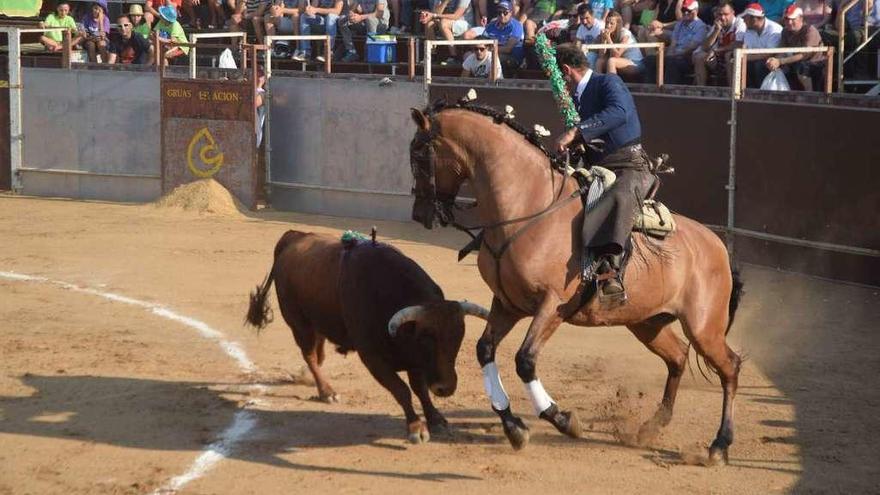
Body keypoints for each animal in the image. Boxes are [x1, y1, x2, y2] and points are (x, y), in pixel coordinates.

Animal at [246, 231, 488, 444]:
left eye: (458, 337)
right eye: (425, 339)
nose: (446, 388)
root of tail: (292, 236)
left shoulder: (415, 361)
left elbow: (419, 389)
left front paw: (436, 420)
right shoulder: (373, 358)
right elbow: (402, 390)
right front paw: (416, 428)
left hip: (319, 323)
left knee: (318, 352)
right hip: (299, 324)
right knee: (310, 356)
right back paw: (326, 392)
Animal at [408, 101, 744, 464]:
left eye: (419, 155)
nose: (419, 215)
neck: (529, 206)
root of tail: (717, 245)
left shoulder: (552, 305)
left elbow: (525, 360)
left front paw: (563, 420)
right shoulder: (507, 304)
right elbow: (485, 350)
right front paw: (514, 427)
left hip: (703, 327)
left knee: (730, 367)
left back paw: (719, 445)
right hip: (647, 323)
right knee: (678, 357)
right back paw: (651, 427)